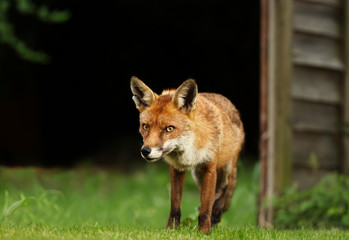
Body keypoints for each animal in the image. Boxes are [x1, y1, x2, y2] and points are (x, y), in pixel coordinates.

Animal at [129, 76, 243, 232]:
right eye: (145, 127)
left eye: (169, 129)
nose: (145, 151)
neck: (188, 152)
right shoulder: (176, 169)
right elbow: (175, 205)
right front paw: (171, 229)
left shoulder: (209, 169)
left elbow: (206, 207)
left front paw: (204, 231)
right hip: (197, 176)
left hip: (226, 168)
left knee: (224, 187)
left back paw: (215, 216)